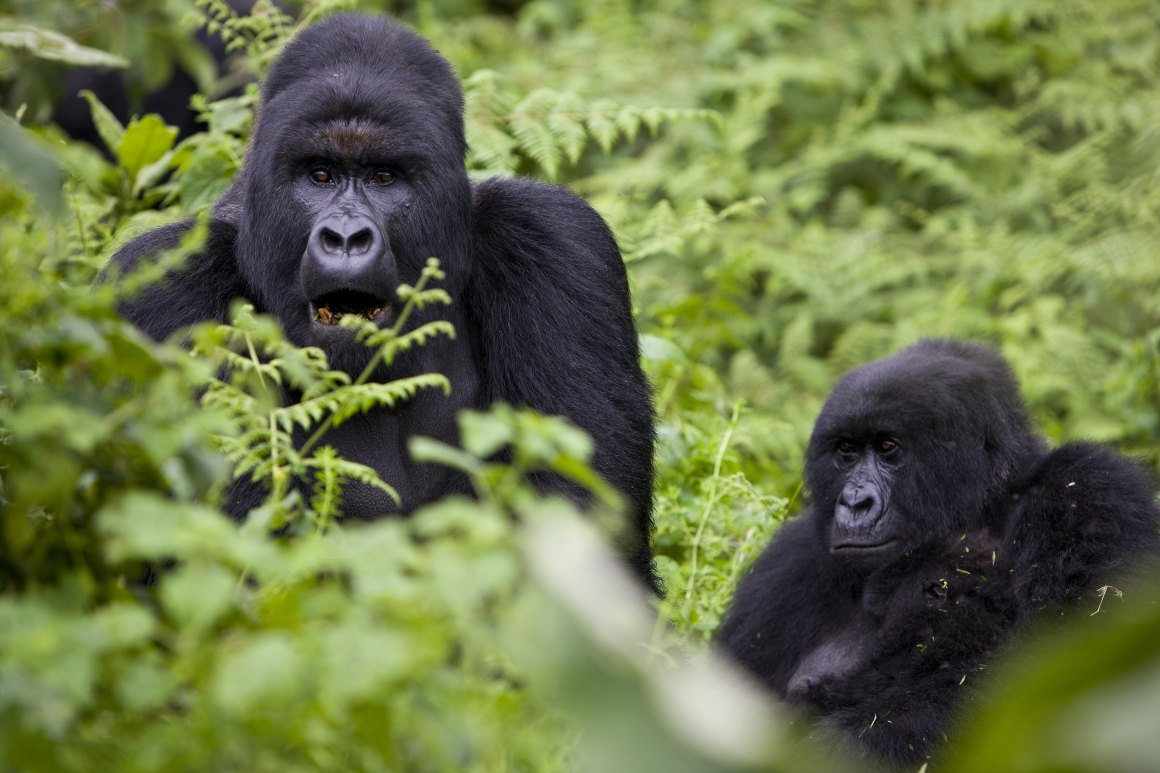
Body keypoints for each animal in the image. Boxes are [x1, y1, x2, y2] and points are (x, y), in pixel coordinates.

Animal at [714, 341, 1160, 761]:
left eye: (888, 447)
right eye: (846, 451)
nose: (855, 503)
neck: (986, 506)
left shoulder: (1091, 490)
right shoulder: (787, 565)